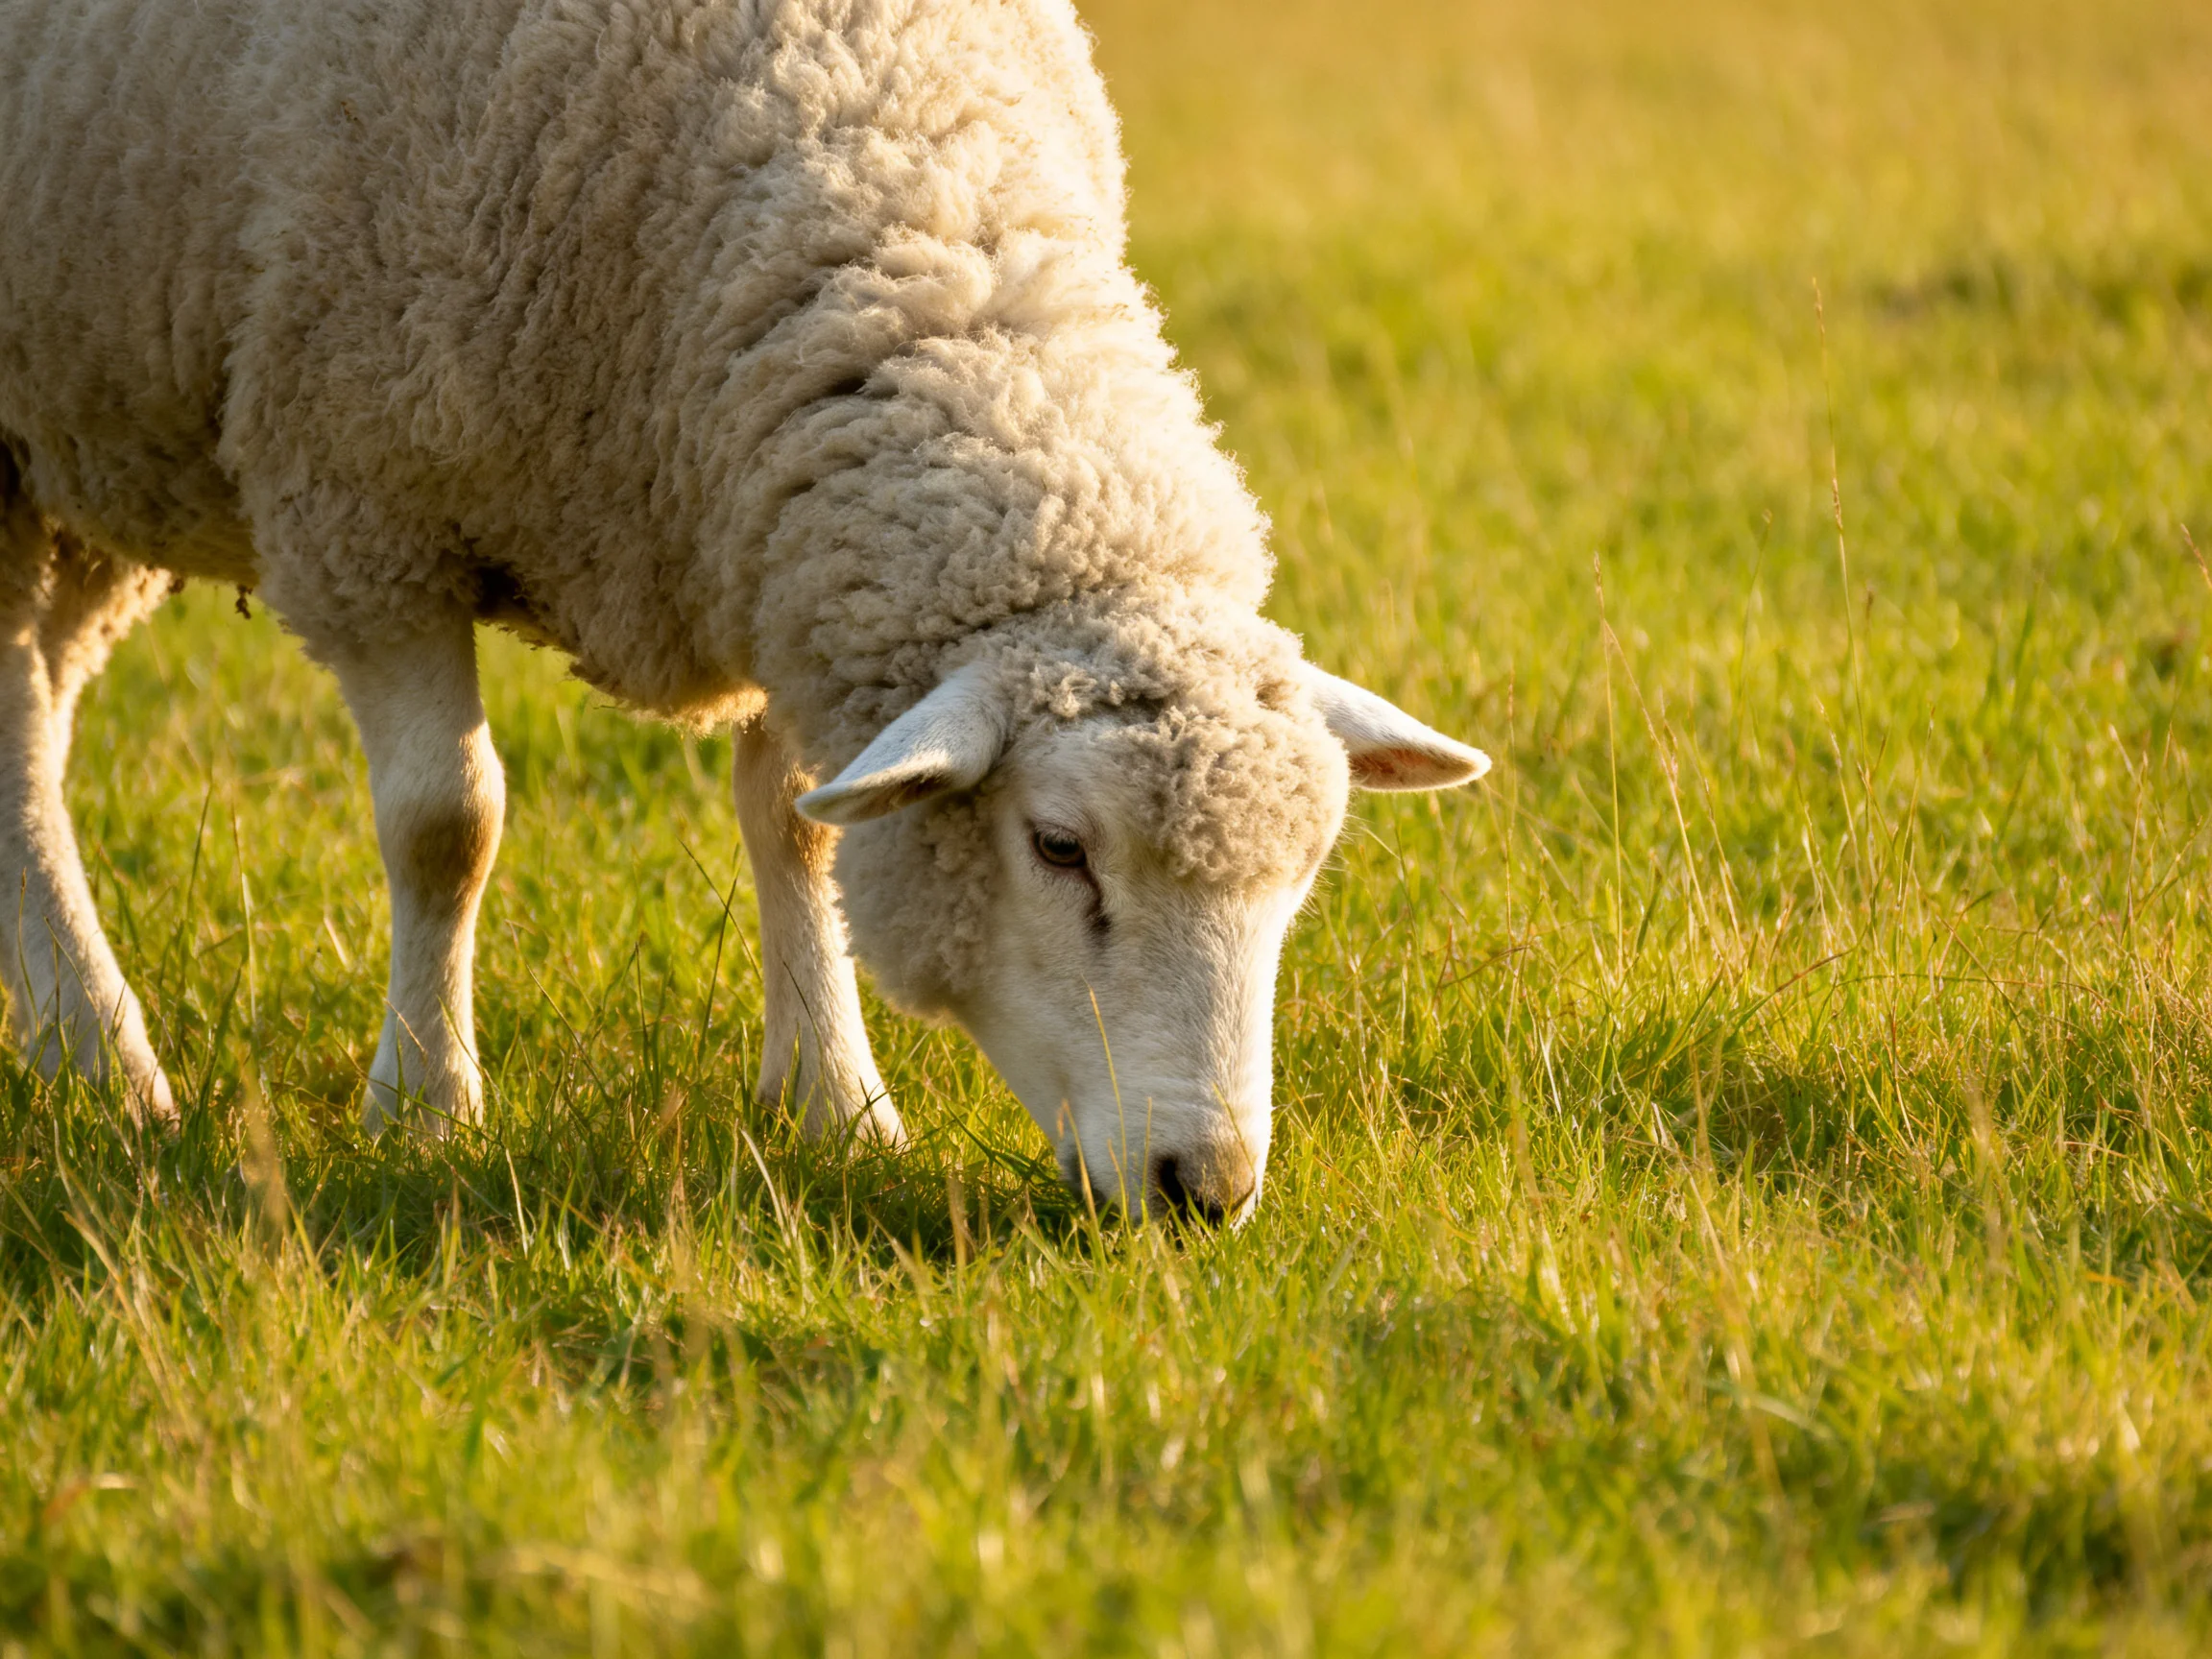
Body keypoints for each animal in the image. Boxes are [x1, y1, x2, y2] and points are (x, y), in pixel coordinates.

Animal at [0, 0, 1488, 1220]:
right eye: (1059, 848)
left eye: (1302, 877)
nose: (1206, 1189)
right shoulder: (362, 507)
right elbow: (445, 828)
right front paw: (423, 1109)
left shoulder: (772, 527)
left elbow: (801, 823)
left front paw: (838, 1103)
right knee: (20, 739)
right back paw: (103, 1056)